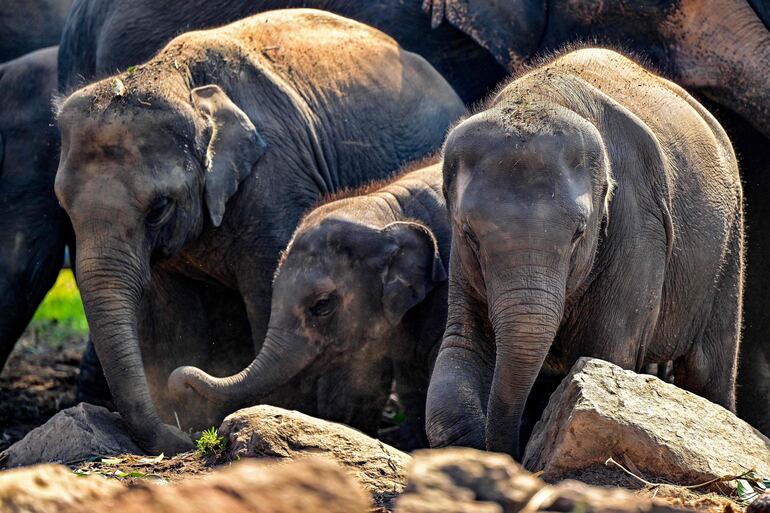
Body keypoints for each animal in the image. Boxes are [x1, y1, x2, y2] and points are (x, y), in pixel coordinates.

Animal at [426, 48, 744, 456]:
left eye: (579, 233)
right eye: (470, 233)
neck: (540, 98)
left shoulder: (637, 224)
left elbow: (606, 352)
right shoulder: (461, 261)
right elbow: (461, 352)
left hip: (729, 244)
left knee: (708, 370)